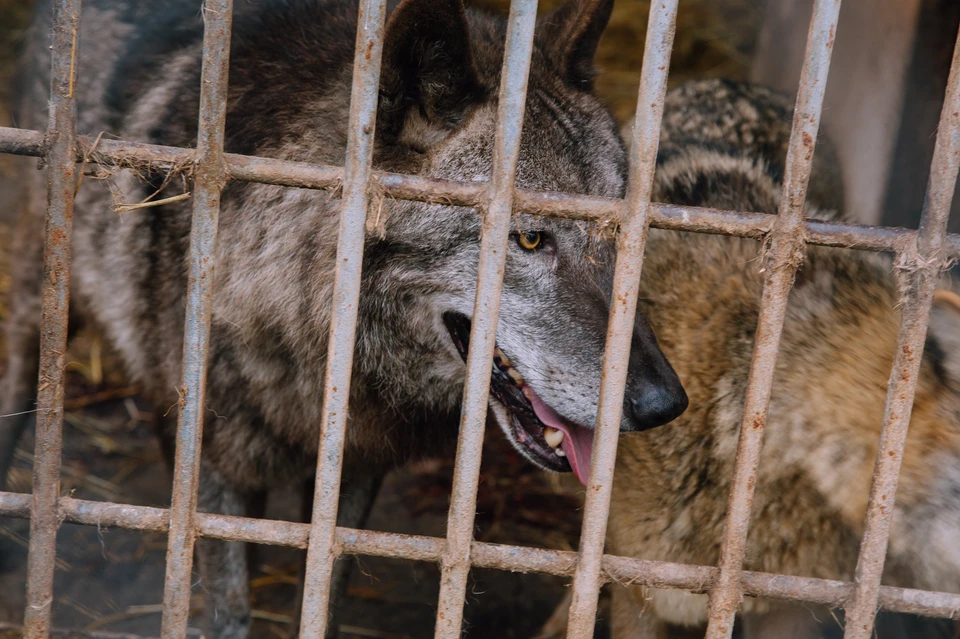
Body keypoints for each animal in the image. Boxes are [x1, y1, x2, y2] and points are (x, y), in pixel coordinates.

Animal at [1, 0, 688, 636]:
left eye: (621, 236)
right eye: (528, 239)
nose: (665, 405)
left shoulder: (355, 466)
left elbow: (321, 588)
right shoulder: (214, 465)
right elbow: (225, 602)